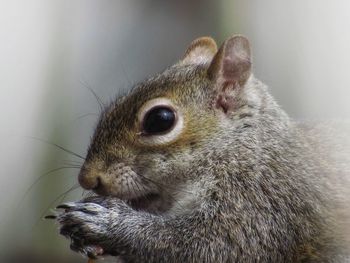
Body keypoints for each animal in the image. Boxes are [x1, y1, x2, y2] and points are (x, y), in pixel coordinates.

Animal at [52, 35, 350, 263]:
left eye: (160, 120)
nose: (87, 178)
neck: (243, 148)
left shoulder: (262, 204)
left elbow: (211, 246)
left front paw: (106, 222)